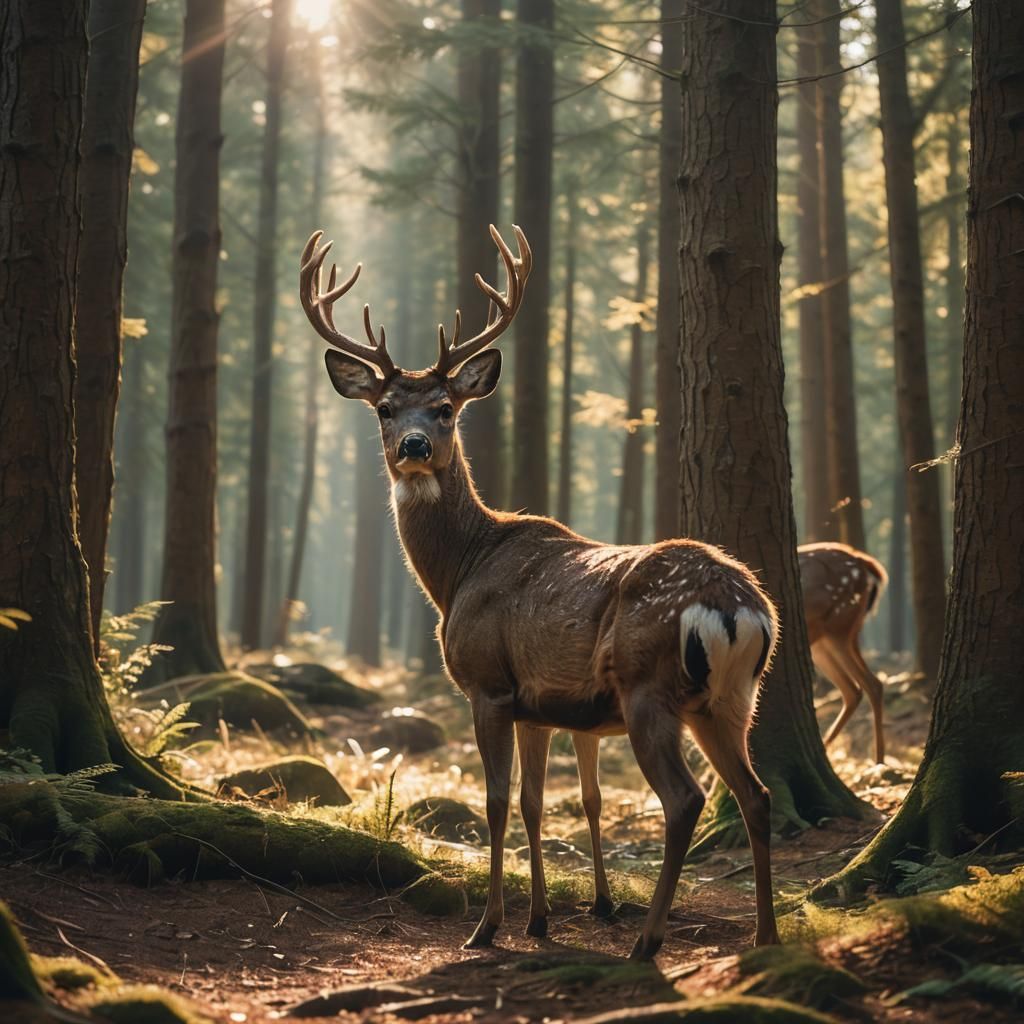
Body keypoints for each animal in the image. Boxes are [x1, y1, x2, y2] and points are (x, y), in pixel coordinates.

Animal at [299, 224, 781, 959]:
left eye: (445, 408)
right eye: (384, 408)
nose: (413, 446)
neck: (458, 573)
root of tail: (738, 606)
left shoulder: (488, 682)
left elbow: (495, 802)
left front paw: (488, 926)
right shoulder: (538, 705)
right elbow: (532, 803)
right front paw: (539, 919)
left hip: (649, 684)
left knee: (686, 800)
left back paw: (648, 942)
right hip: (731, 698)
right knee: (756, 796)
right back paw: (765, 936)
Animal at [798, 542, 889, 763]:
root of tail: (864, 564)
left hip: (837, 628)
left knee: (869, 684)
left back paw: (879, 761)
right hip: (830, 638)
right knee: (857, 688)